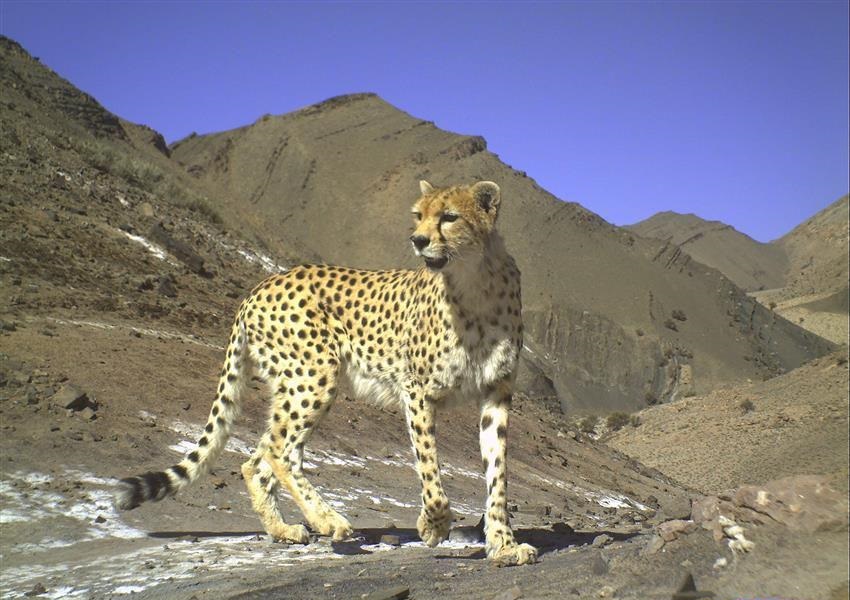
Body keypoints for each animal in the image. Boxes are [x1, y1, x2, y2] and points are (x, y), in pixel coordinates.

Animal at [116, 180, 536, 564]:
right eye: (418, 215)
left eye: (449, 217)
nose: (417, 240)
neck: (475, 283)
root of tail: (262, 284)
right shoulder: (416, 390)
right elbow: (429, 466)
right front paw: (434, 524)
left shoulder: (496, 393)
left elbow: (497, 472)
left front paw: (503, 544)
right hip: (313, 376)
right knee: (279, 452)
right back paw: (327, 519)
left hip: (293, 385)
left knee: (257, 459)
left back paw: (284, 529)